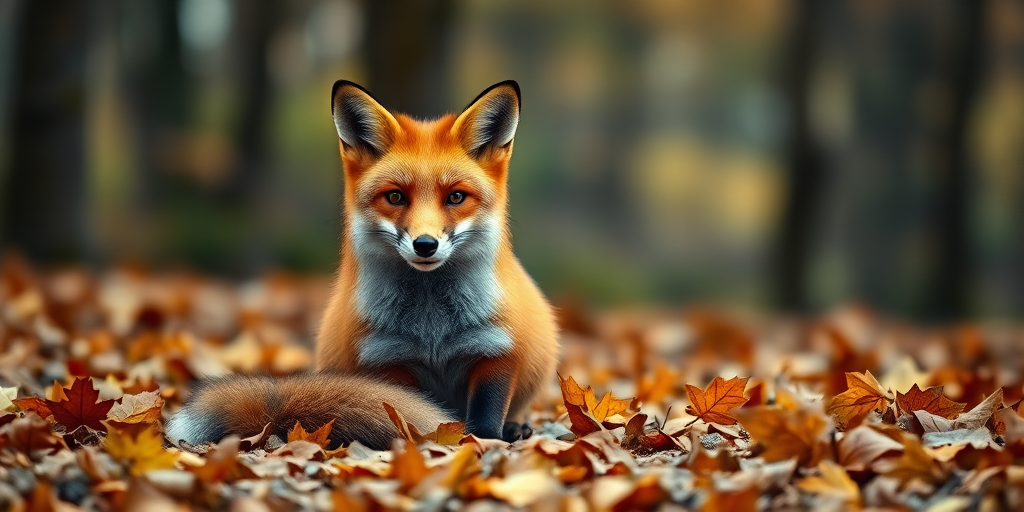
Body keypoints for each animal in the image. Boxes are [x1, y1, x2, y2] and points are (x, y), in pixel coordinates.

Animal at [165, 80, 559, 450]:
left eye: (456, 197)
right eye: (395, 197)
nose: (425, 245)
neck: (433, 329)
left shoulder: (497, 351)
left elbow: (486, 416)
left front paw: (486, 439)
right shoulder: (388, 362)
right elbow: (404, 413)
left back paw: (516, 428)